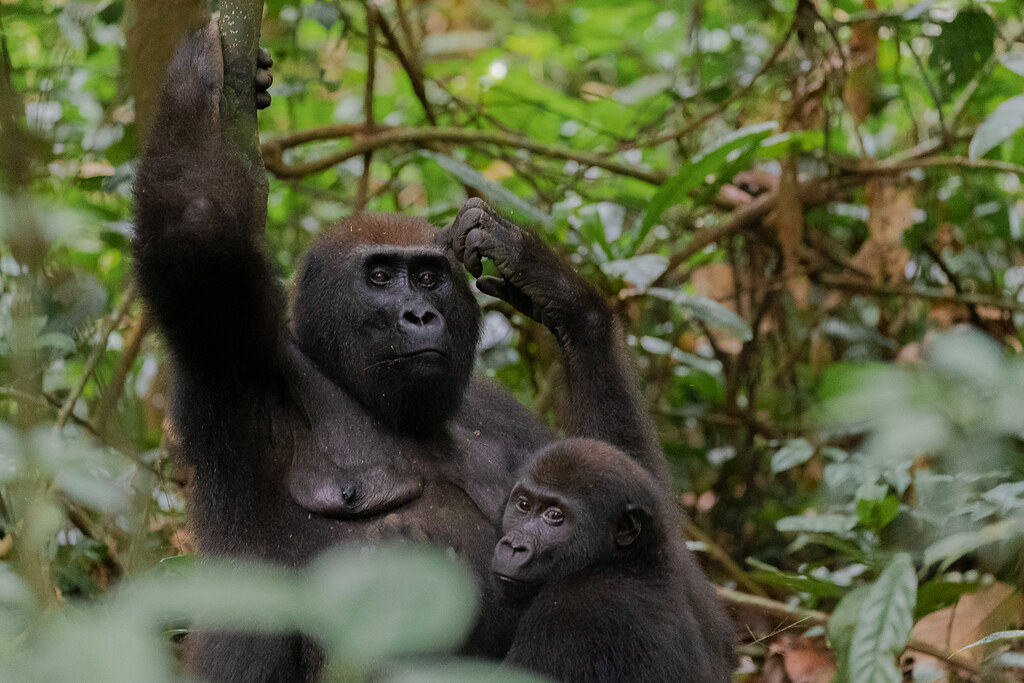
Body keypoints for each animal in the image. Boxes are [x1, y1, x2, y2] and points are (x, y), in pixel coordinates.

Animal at [132, 24, 667, 679]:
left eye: (431, 278)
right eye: (382, 277)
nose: (421, 315)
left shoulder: (498, 408)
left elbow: (625, 500)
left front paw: (549, 282)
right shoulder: (239, 361)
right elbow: (193, 232)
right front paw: (192, 85)